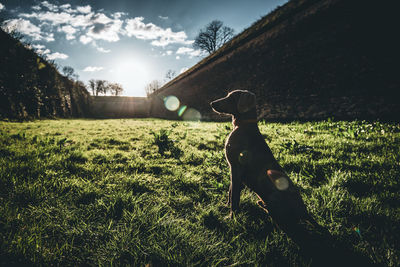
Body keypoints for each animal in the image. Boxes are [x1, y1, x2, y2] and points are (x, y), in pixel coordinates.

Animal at [211, 90, 310, 228]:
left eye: (231, 98)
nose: (212, 103)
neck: (243, 126)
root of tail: (305, 213)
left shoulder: (236, 168)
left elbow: (234, 195)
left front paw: (231, 217)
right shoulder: (234, 170)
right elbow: (230, 192)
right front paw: (226, 207)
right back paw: (262, 205)